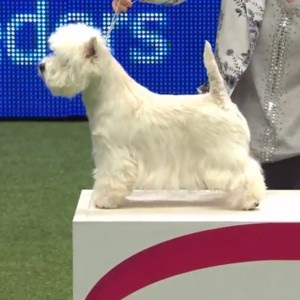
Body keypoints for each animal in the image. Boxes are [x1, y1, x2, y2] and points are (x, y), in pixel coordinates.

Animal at [38, 22, 266, 209]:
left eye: (65, 60)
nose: (41, 66)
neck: (110, 94)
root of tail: (219, 99)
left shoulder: (113, 152)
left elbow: (110, 177)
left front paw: (104, 200)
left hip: (225, 152)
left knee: (246, 172)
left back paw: (251, 201)